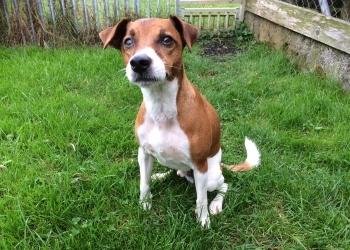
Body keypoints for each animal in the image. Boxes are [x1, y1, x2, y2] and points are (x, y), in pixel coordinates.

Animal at [98, 14, 260, 228]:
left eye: (167, 39)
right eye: (128, 41)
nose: (139, 62)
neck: (161, 107)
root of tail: (221, 164)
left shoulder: (200, 165)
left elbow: (201, 199)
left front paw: (204, 220)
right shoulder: (144, 153)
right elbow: (144, 183)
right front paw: (144, 203)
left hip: (211, 176)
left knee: (224, 185)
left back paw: (216, 204)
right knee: (175, 172)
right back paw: (160, 175)